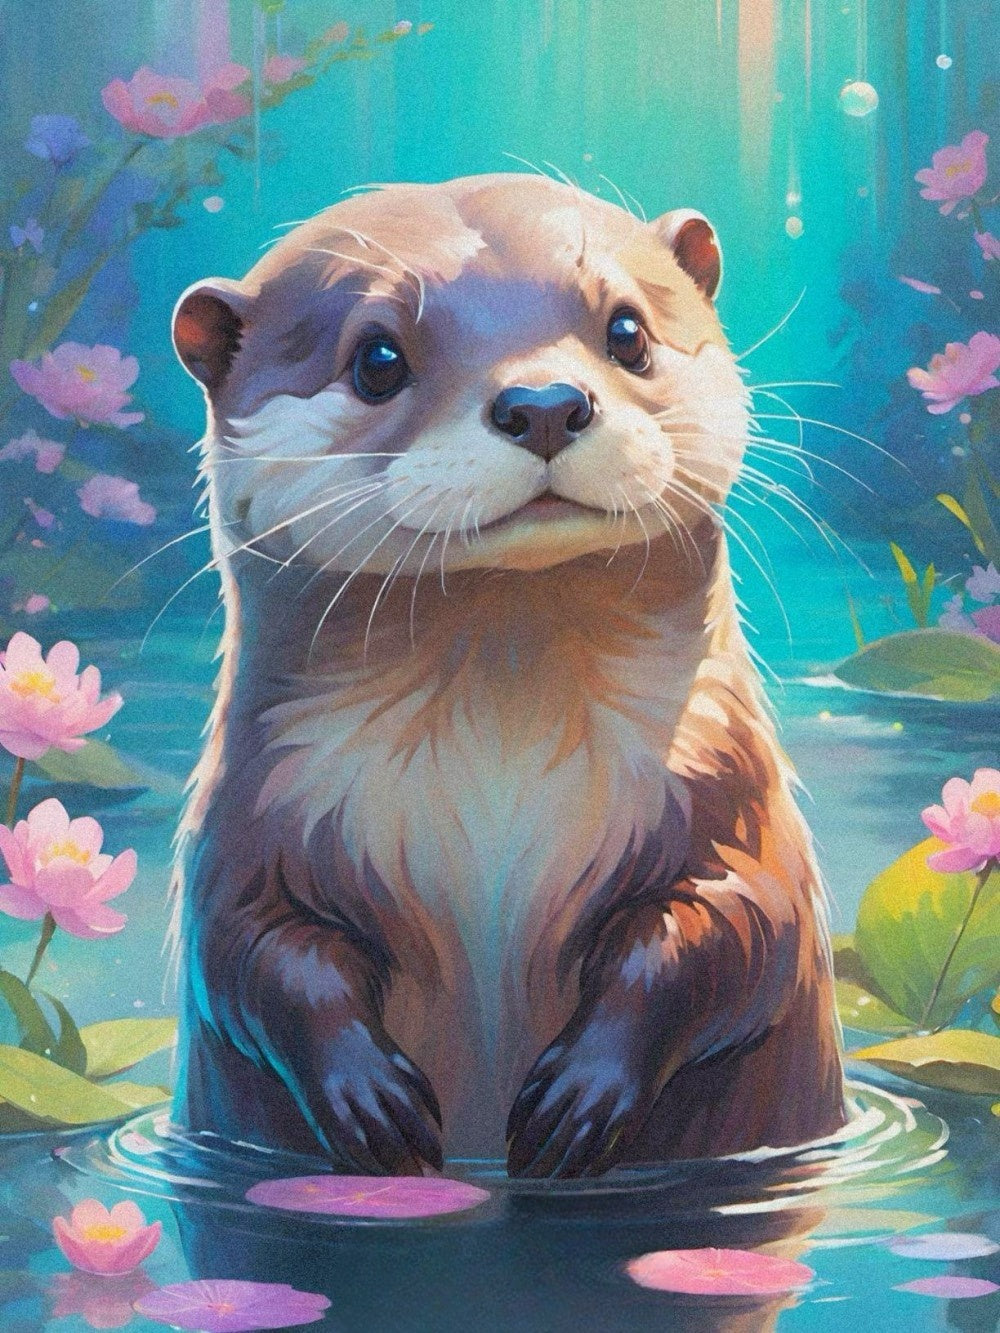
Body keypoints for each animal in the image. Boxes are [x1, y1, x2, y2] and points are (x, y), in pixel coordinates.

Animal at [169, 173, 847, 1178]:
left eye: (627, 330)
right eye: (377, 357)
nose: (545, 403)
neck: (499, 766)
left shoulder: (733, 794)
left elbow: (731, 923)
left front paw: (584, 1091)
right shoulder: (248, 822)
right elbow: (252, 950)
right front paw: (367, 1095)